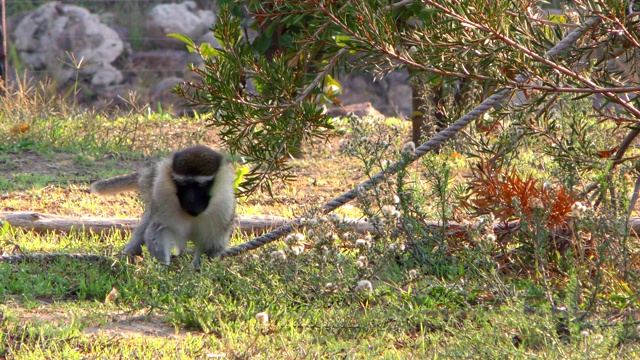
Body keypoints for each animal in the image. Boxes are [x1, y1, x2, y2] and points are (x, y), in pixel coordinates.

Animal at [91, 144, 236, 268]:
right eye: (183, 185)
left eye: (200, 186)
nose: (190, 200)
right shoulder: (162, 195)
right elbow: (158, 230)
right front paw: (162, 267)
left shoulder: (224, 205)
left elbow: (213, 243)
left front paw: (195, 270)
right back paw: (127, 257)